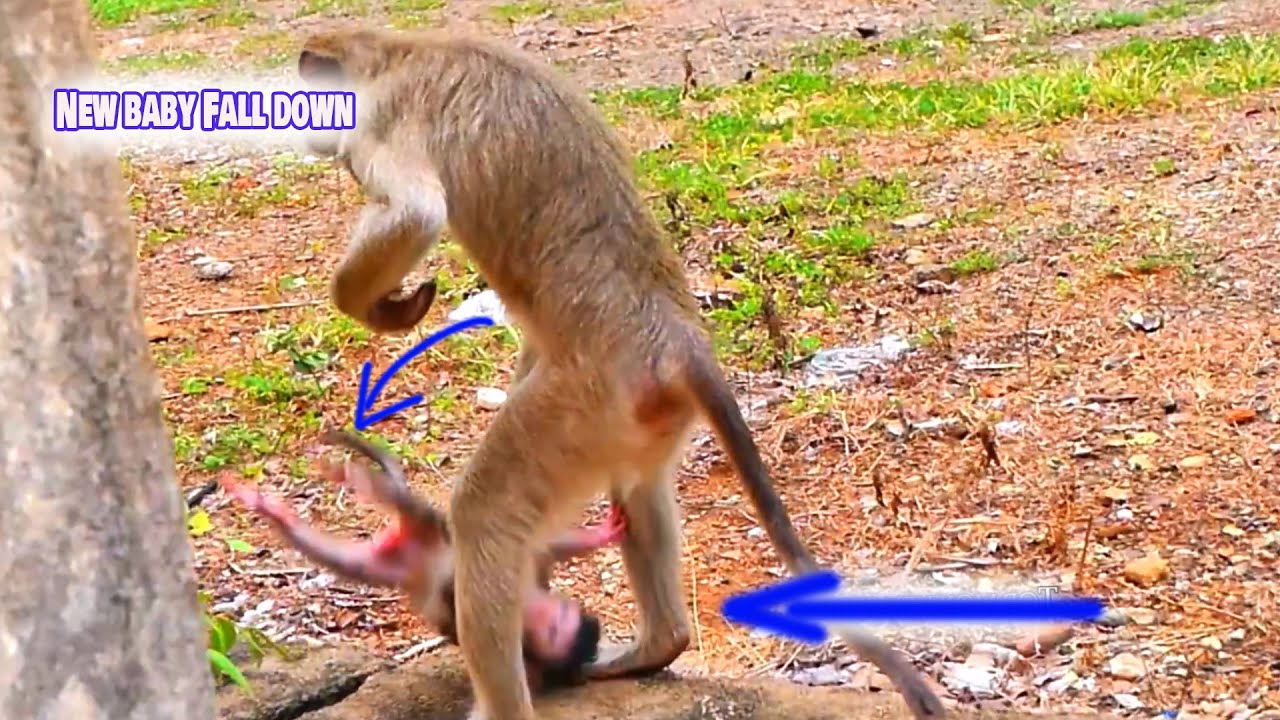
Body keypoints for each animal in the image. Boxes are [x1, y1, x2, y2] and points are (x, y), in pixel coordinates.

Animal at [219, 429, 626, 691]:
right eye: (564, 617)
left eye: (561, 627)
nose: (563, 614)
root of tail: (404, 545)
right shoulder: (520, 572)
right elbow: (547, 547)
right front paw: (601, 533)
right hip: (434, 531)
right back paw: (350, 478)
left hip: (396, 552)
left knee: (342, 553)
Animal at [293, 27, 944, 720]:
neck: (396, 50)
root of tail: (677, 338)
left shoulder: (381, 120)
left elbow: (414, 214)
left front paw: (371, 303)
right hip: (634, 408)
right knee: (637, 483)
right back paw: (659, 643)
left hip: (589, 398)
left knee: (485, 511)